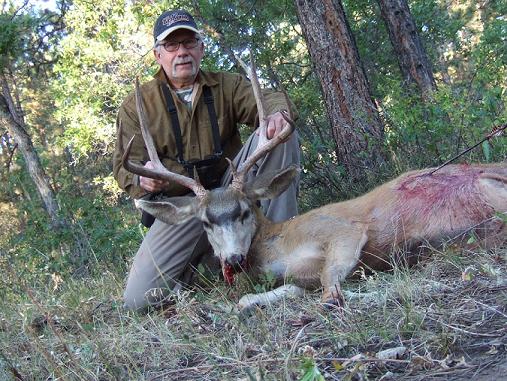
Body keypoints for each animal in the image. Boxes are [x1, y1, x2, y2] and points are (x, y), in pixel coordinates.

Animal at [123, 58, 507, 308]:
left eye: (245, 210)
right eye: (205, 222)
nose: (232, 258)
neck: (275, 246)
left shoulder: (341, 230)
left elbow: (329, 290)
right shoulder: (293, 277)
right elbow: (256, 297)